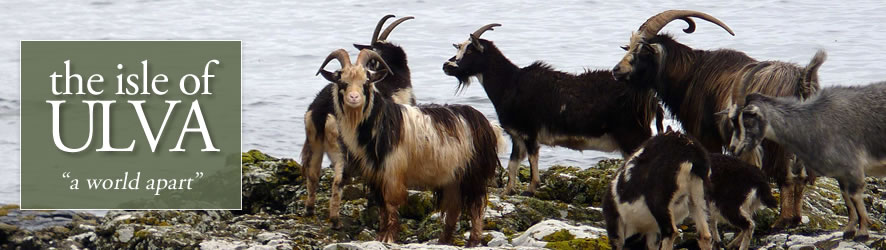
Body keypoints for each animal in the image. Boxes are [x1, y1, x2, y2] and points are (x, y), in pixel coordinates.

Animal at [302, 14, 416, 228]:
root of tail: (323, 111)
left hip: (315, 142)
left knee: (312, 174)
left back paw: (309, 211)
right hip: (342, 148)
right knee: (338, 180)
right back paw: (335, 220)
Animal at [320, 48, 502, 246]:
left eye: (366, 82)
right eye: (342, 81)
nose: (354, 98)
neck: (381, 122)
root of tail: (487, 125)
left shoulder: (392, 173)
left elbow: (391, 206)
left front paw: (389, 237)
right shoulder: (377, 176)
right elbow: (382, 209)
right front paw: (381, 237)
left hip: (473, 174)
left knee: (476, 208)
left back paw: (472, 241)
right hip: (453, 177)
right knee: (454, 208)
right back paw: (443, 241)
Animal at [612, 9, 828, 229]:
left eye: (642, 51)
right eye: (629, 47)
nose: (616, 71)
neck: (692, 74)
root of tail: (802, 81)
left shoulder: (707, 134)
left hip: (776, 143)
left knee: (787, 177)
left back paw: (783, 220)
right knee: (801, 177)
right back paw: (796, 218)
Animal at [732, 81, 886, 240]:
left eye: (747, 121)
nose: (734, 148)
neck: (812, 123)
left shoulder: (853, 166)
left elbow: (854, 196)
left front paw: (862, 232)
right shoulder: (841, 173)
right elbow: (847, 199)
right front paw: (849, 230)